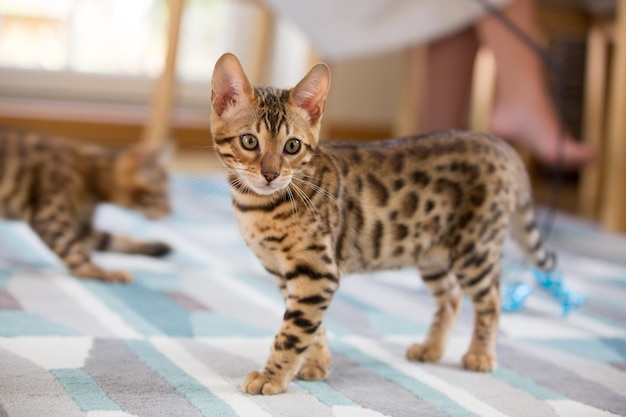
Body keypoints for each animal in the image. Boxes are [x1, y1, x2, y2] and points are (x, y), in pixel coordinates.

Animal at [0, 126, 171, 282]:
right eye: (162, 194)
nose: (170, 211)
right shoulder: (50, 219)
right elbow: (76, 250)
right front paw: (101, 273)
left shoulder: (83, 228)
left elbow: (114, 240)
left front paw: (158, 247)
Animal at [208, 52, 552, 394]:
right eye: (249, 141)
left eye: (292, 146)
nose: (271, 174)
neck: (258, 207)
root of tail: (502, 146)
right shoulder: (288, 274)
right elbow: (312, 326)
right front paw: (318, 363)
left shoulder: (317, 271)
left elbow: (294, 331)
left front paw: (272, 377)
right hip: (430, 252)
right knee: (452, 297)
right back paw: (432, 348)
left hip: (475, 249)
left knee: (491, 301)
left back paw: (481, 355)